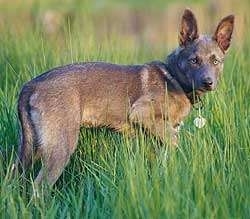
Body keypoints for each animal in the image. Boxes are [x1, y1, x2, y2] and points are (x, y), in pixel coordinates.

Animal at [16, 9, 234, 186]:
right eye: (194, 60)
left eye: (216, 61)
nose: (208, 82)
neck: (173, 78)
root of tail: (31, 85)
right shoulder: (141, 113)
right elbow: (174, 139)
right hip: (60, 146)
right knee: (39, 187)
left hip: (34, 145)